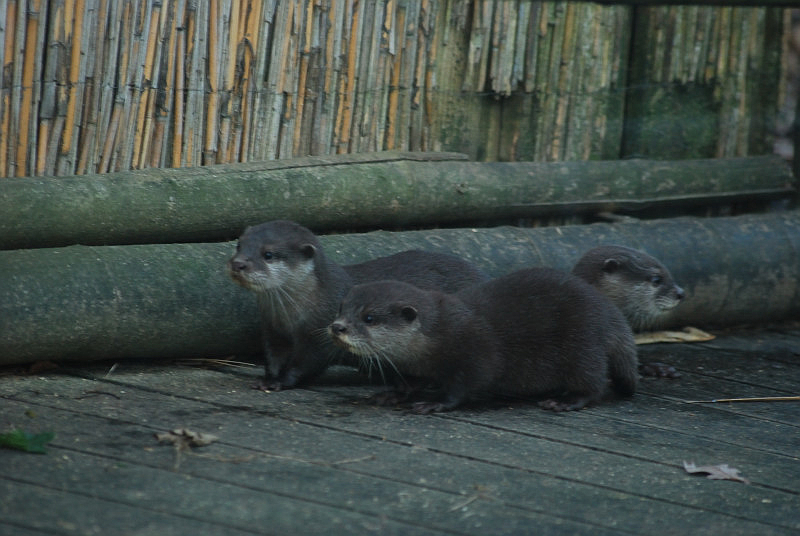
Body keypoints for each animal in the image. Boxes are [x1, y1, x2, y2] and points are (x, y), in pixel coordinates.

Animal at [227, 220, 488, 390]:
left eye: (268, 254)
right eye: (239, 245)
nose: (238, 264)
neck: (293, 315)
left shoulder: (320, 335)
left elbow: (306, 363)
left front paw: (281, 382)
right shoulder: (273, 330)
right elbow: (273, 357)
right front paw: (267, 379)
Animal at [329, 268, 638, 413]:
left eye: (369, 317)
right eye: (341, 308)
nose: (337, 327)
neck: (438, 335)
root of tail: (608, 311)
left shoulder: (475, 352)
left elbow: (467, 384)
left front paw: (435, 403)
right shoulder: (417, 366)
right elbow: (411, 382)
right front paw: (391, 393)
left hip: (582, 343)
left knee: (593, 382)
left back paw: (565, 401)